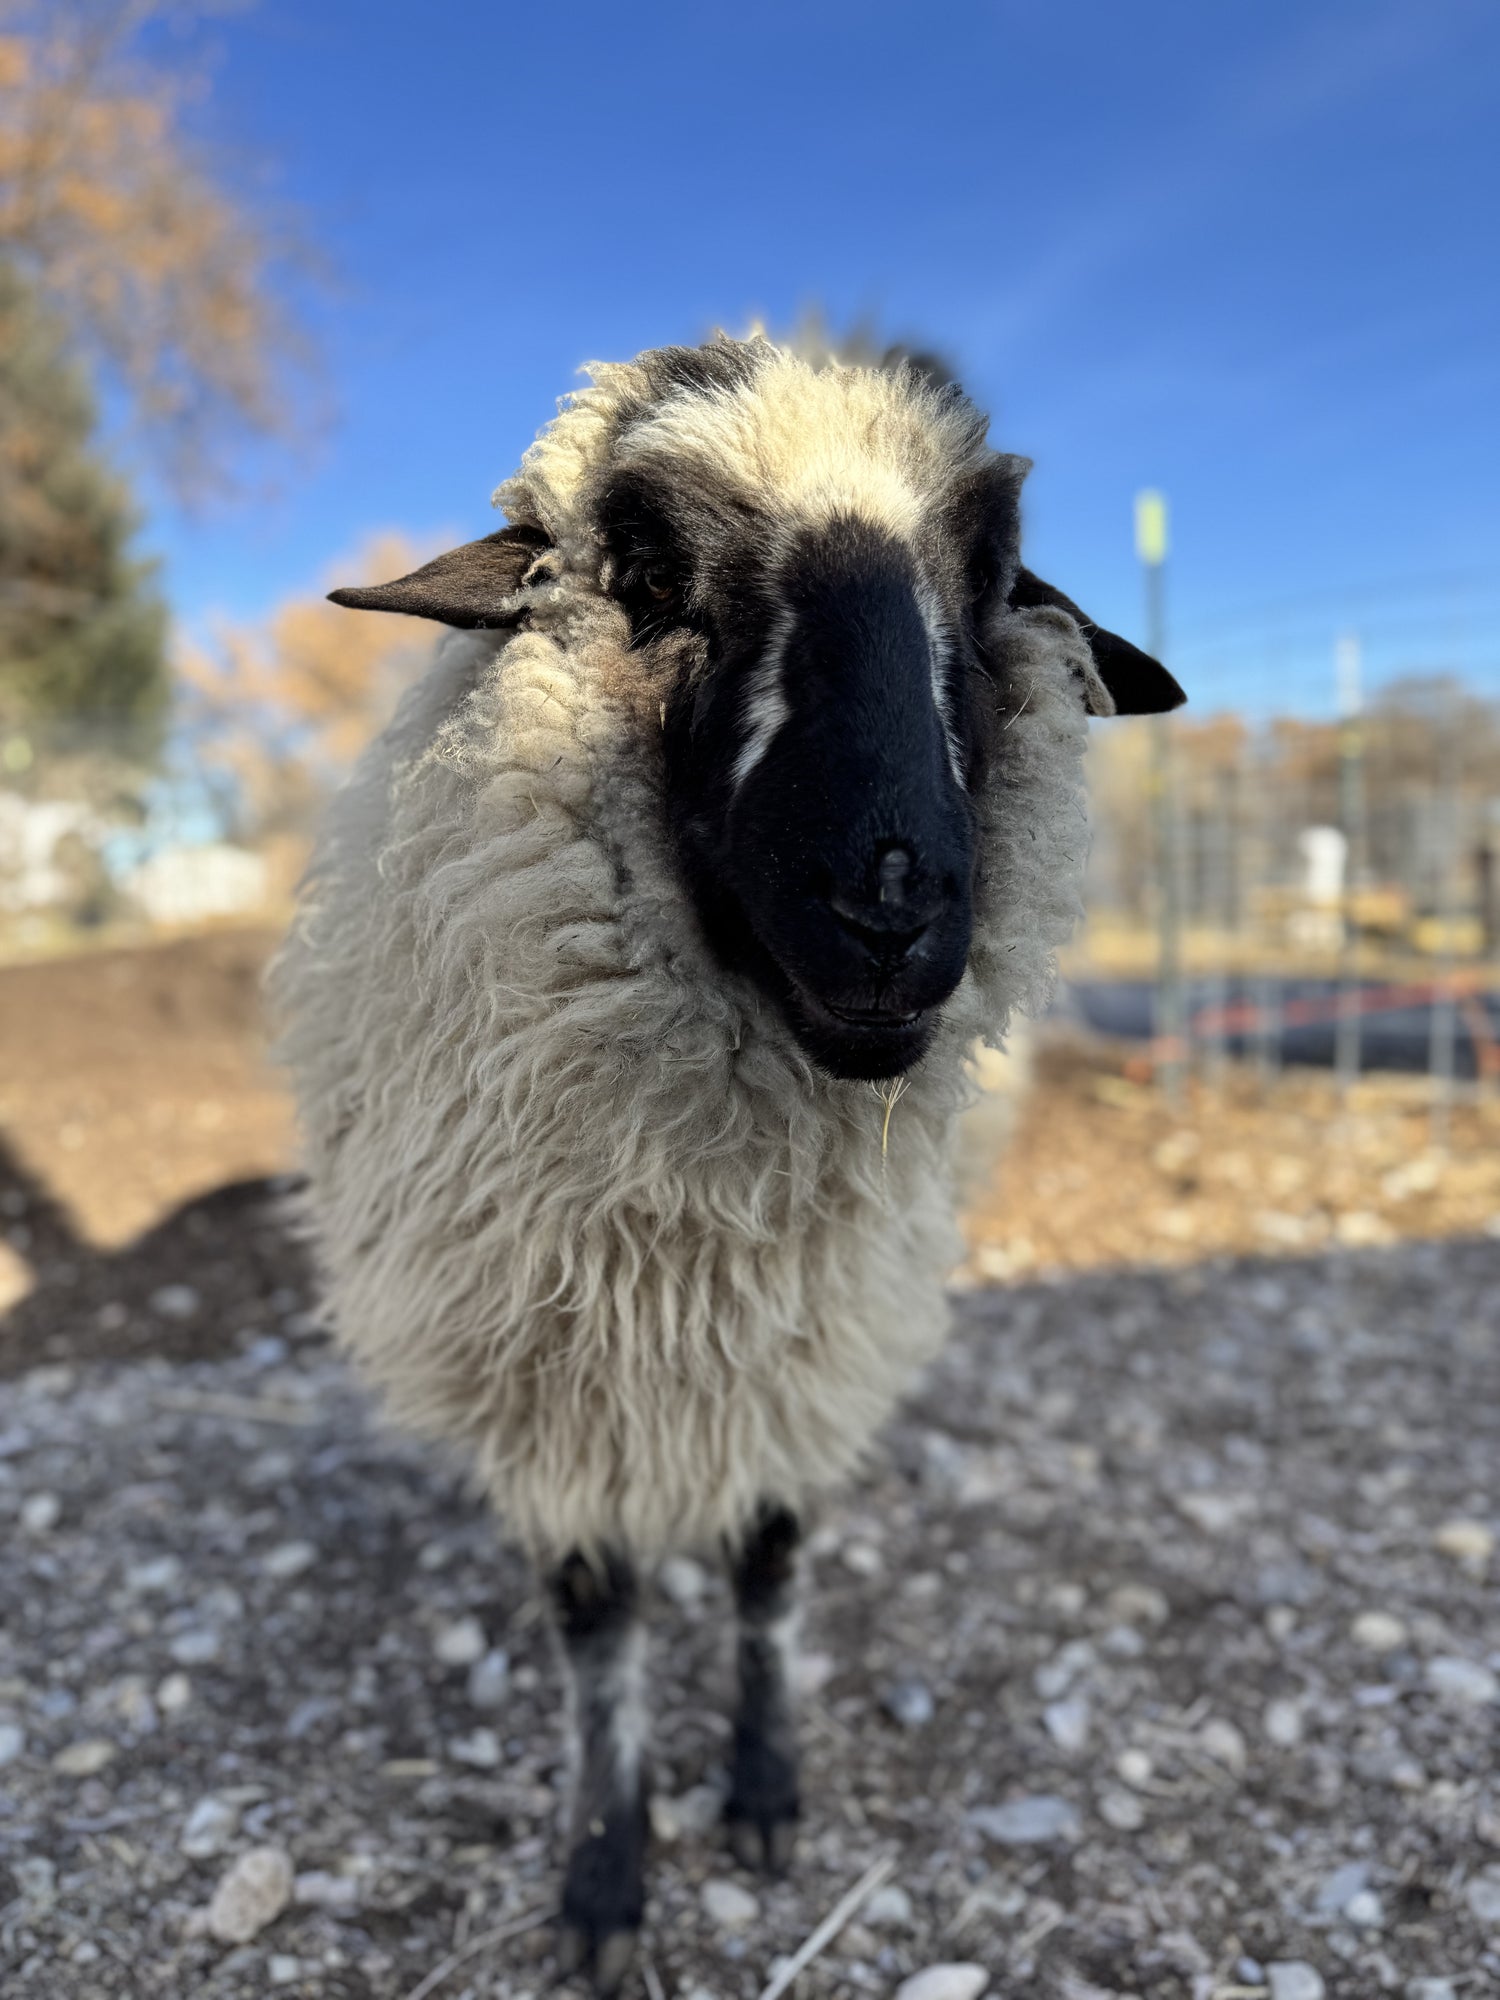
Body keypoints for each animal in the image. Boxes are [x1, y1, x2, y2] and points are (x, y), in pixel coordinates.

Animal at [270, 331, 1183, 1988]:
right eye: (643, 572)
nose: (891, 901)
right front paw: (604, 1872)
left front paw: (759, 1790)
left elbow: (766, 1564)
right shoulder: (550, 1375)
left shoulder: (807, 1341)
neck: (704, 1221)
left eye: (991, 580)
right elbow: (600, 1630)